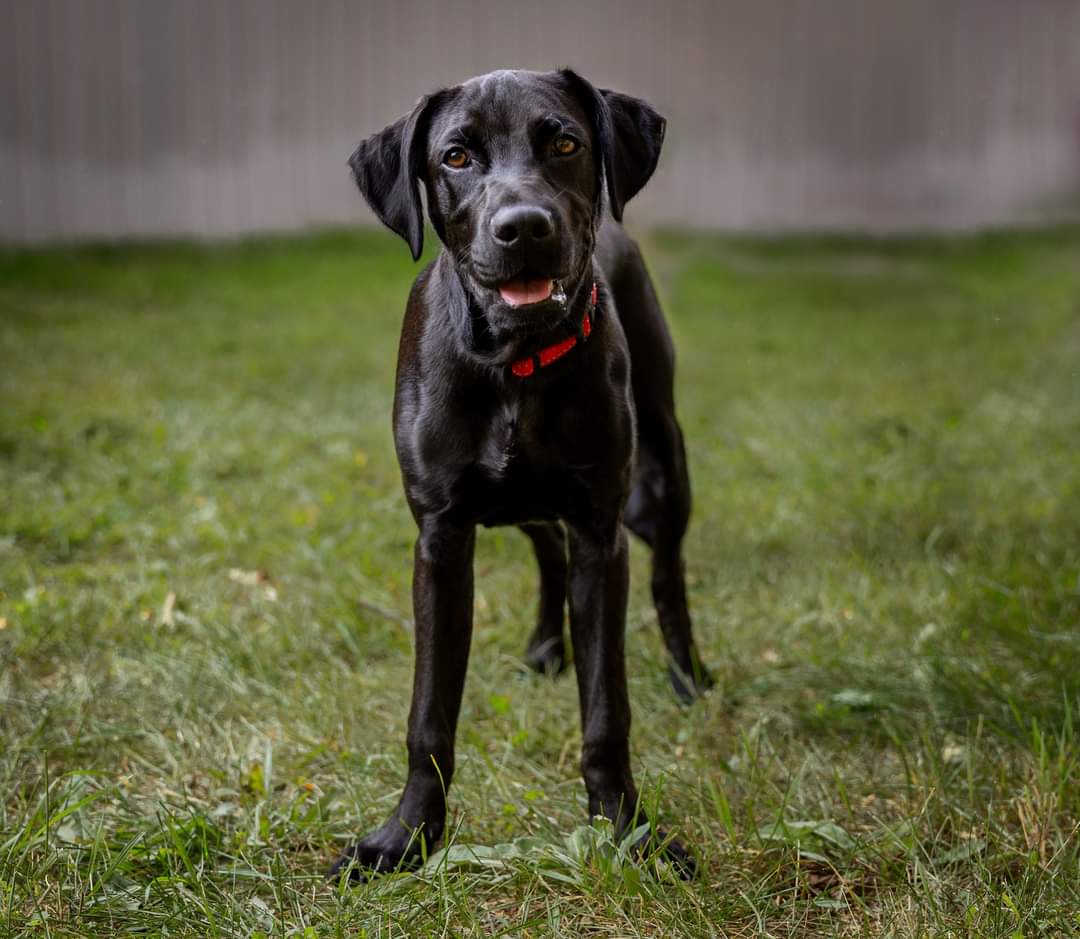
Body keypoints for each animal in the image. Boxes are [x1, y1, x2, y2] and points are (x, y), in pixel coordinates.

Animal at [332, 67, 712, 877]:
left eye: (564, 142)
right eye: (455, 155)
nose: (524, 226)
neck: (513, 362)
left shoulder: (602, 532)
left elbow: (607, 711)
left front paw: (626, 829)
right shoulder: (441, 538)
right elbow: (429, 715)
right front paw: (406, 837)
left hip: (661, 470)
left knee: (667, 573)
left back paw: (689, 675)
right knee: (546, 548)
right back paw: (545, 649)